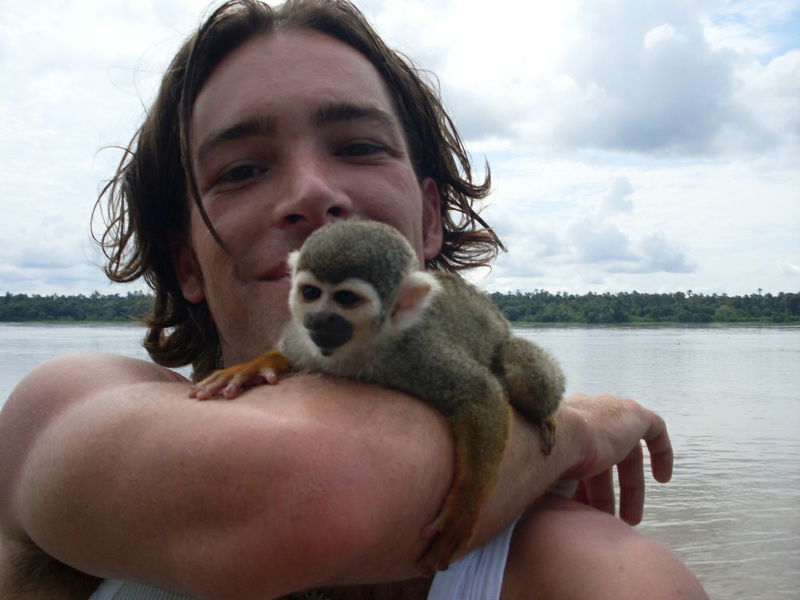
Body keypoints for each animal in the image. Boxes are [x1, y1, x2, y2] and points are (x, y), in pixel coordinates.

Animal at [190, 219, 564, 572]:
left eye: (346, 299)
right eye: (310, 292)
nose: (319, 318)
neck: (361, 348)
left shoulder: (417, 352)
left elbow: (480, 394)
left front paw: (464, 505)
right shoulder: (306, 339)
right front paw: (252, 367)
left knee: (524, 373)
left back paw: (545, 414)